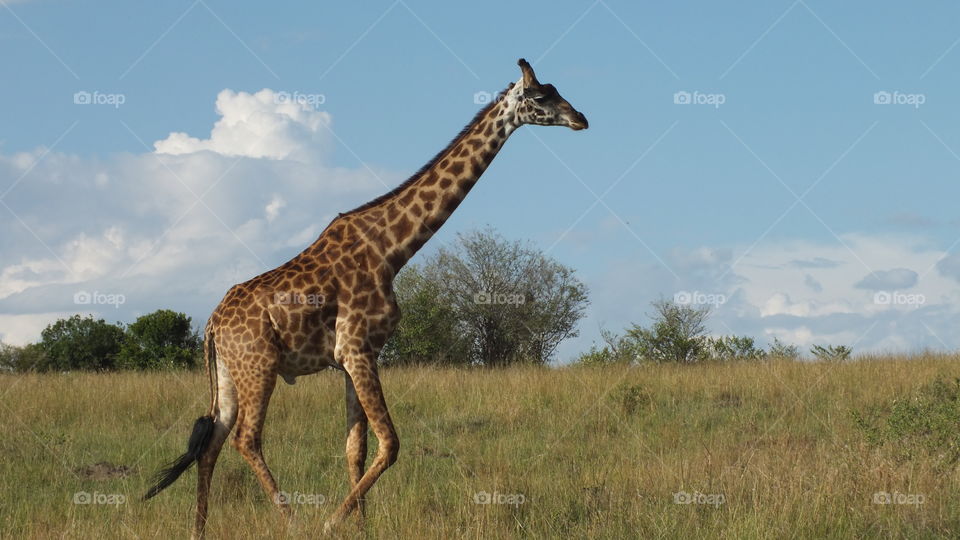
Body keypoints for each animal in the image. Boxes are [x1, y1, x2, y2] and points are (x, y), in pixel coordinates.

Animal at [143, 58, 588, 537]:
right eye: (541, 96)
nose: (581, 119)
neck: (392, 251)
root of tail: (210, 324)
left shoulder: (356, 356)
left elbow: (354, 448)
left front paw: (361, 526)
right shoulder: (356, 349)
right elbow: (390, 443)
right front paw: (331, 522)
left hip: (229, 373)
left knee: (212, 441)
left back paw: (199, 529)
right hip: (258, 365)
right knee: (246, 438)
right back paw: (293, 520)